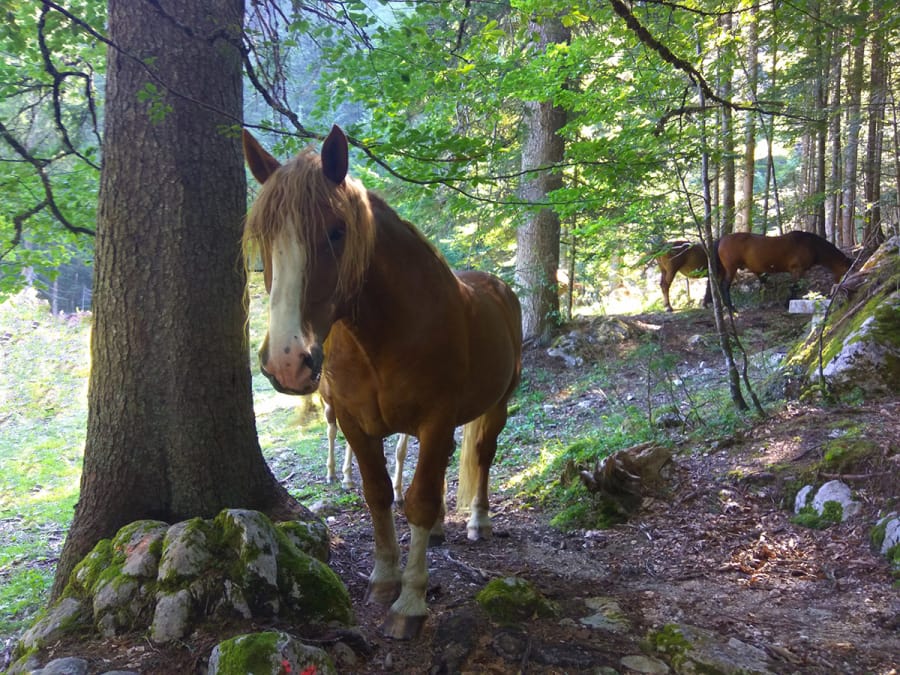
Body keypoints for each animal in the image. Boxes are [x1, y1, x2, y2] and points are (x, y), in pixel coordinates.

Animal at [243, 125, 524, 640]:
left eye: (337, 231)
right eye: (264, 237)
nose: (288, 362)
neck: (382, 337)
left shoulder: (436, 421)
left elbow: (419, 501)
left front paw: (410, 601)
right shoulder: (356, 423)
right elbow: (378, 494)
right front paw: (383, 579)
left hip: (497, 406)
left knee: (482, 456)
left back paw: (478, 521)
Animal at [712, 230, 852, 308]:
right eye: (847, 272)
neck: (811, 245)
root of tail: (722, 239)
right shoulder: (797, 270)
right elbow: (794, 287)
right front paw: (787, 303)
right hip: (731, 268)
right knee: (725, 286)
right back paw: (730, 307)